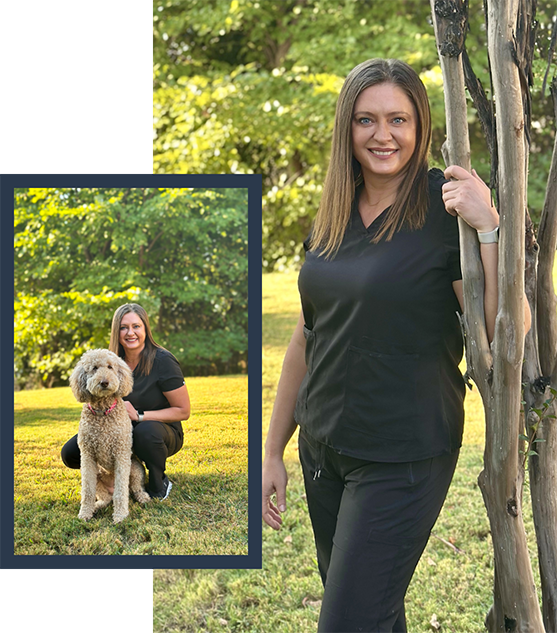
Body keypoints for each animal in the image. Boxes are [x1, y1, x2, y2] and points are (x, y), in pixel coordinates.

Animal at [69, 348, 150, 520]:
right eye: (94, 368)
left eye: (110, 367)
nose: (104, 382)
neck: (103, 412)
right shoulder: (87, 457)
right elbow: (87, 490)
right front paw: (84, 513)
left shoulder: (121, 454)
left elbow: (121, 491)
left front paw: (120, 515)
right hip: (98, 474)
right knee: (105, 497)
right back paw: (97, 506)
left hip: (135, 469)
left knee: (133, 489)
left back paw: (143, 497)